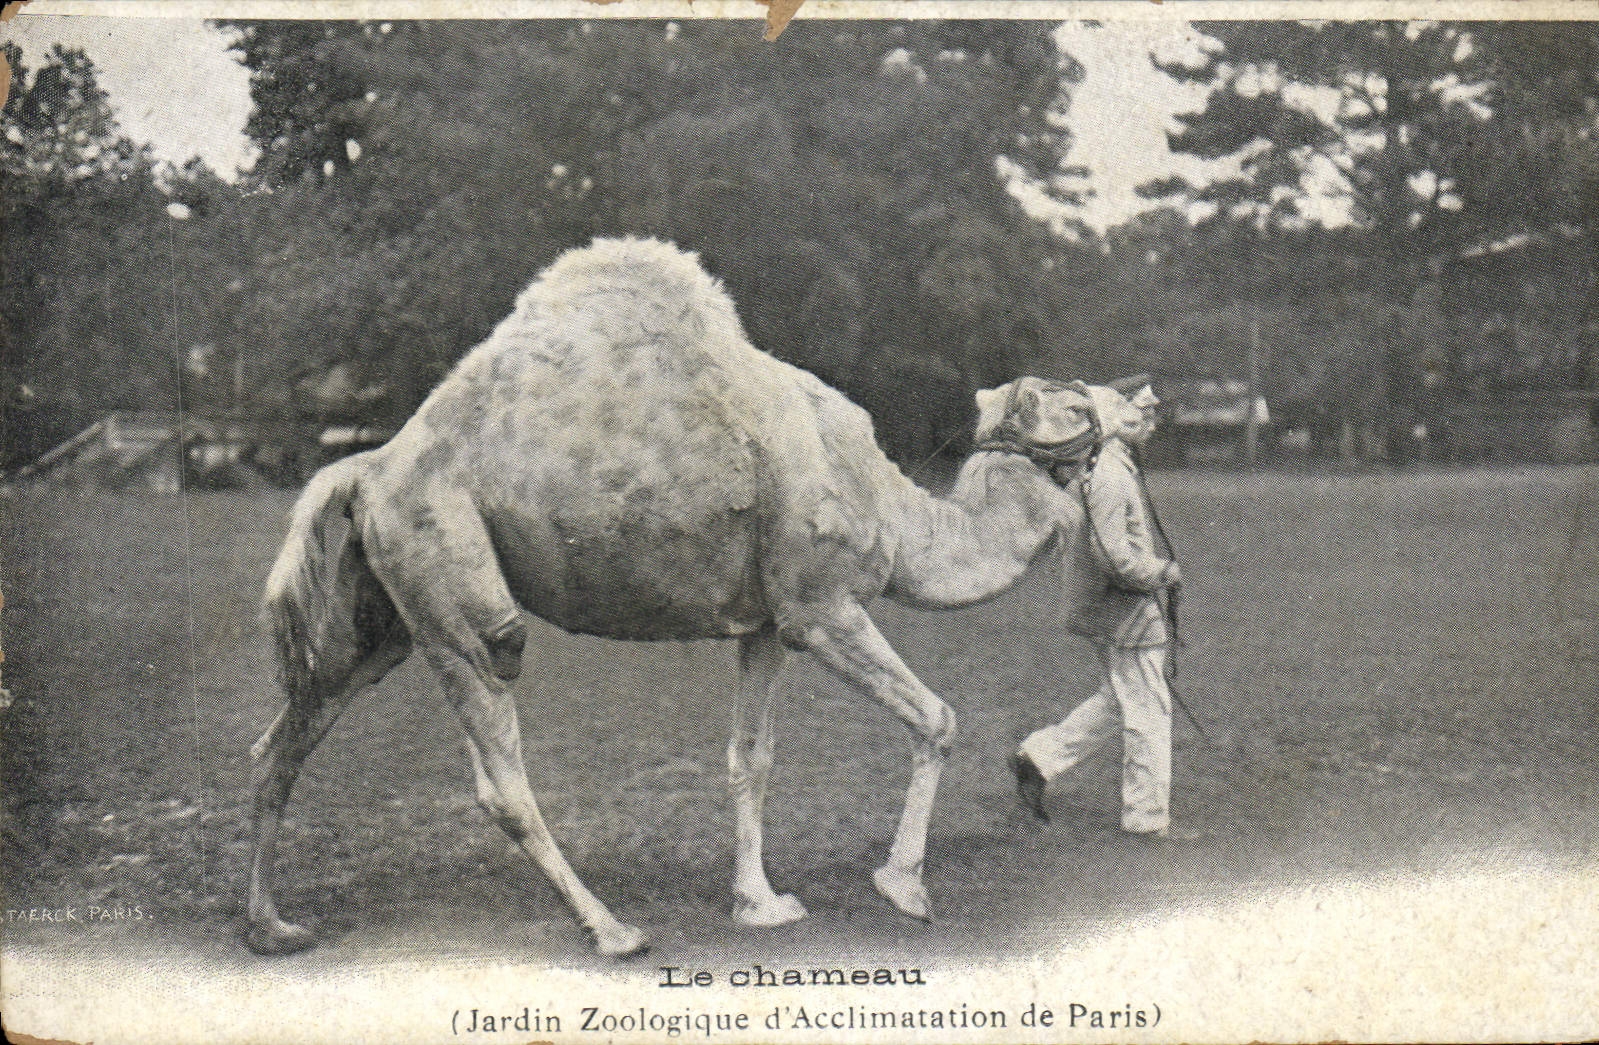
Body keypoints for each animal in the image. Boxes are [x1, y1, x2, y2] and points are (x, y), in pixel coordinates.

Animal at [247, 236, 1129, 959]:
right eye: (1072, 402)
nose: (1143, 398)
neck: (894, 507)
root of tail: (368, 465)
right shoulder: (820, 606)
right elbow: (936, 717)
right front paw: (904, 887)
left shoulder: (767, 624)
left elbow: (751, 756)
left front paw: (760, 903)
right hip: (449, 569)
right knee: (496, 744)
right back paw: (612, 930)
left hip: (383, 611)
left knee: (285, 738)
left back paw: (272, 927)